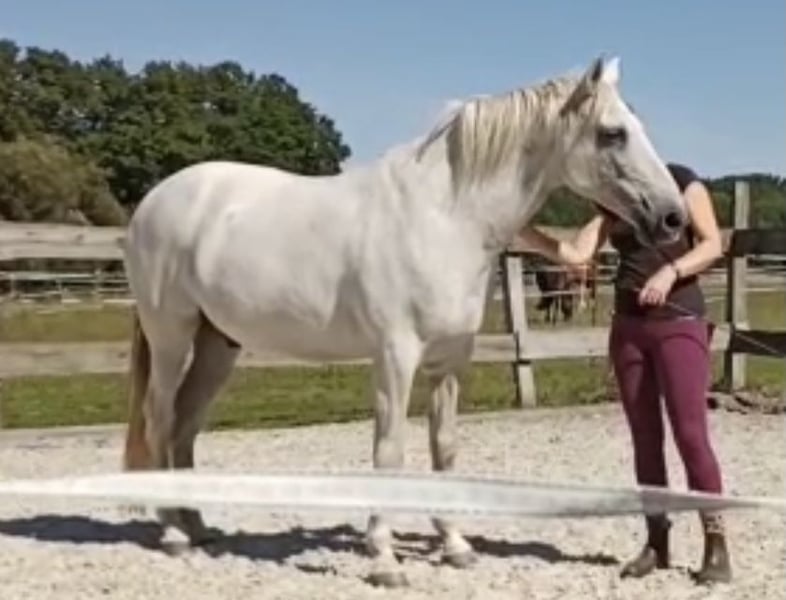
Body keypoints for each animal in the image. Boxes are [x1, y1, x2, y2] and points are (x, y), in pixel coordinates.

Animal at [120, 55, 687, 587]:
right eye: (612, 133)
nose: (673, 217)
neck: (443, 218)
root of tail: (153, 202)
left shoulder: (450, 360)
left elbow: (445, 448)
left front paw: (456, 546)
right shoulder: (396, 356)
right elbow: (389, 452)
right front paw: (385, 559)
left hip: (217, 344)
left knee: (185, 425)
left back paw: (197, 527)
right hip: (172, 337)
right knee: (161, 417)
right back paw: (172, 533)